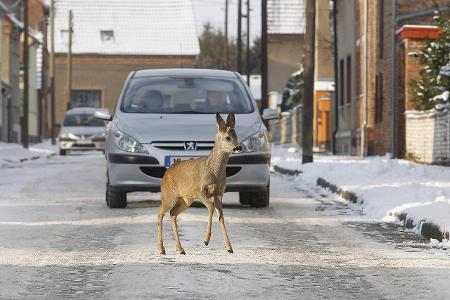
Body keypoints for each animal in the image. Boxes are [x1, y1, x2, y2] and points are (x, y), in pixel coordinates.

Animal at [158, 112, 243, 253]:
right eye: (228, 137)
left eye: (237, 136)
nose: (238, 147)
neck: (213, 171)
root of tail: (166, 173)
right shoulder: (199, 190)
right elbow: (211, 207)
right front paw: (206, 240)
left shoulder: (218, 193)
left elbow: (221, 216)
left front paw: (229, 247)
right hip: (169, 195)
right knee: (160, 214)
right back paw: (161, 249)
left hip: (185, 199)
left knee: (173, 213)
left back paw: (180, 249)